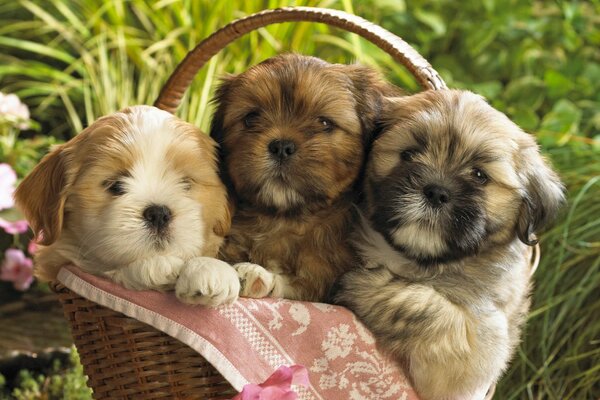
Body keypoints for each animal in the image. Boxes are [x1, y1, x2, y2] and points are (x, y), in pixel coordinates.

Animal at [14, 104, 239, 304]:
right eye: (115, 185)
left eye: (186, 183)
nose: (158, 214)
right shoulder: (59, 261)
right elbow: (104, 269)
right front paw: (159, 266)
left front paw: (211, 270)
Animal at [209, 54, 396, 302]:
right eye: (251, 118)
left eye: (324, 122)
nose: (281, 147)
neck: (284, 219)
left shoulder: (326, 281)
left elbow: (301, 285)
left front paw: (258, 275)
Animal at [336, 90, 564, 400]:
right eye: (408, 154)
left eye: (479, 175)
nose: (436, 191)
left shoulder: (478, 350)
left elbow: (430, 307)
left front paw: (363, 286)